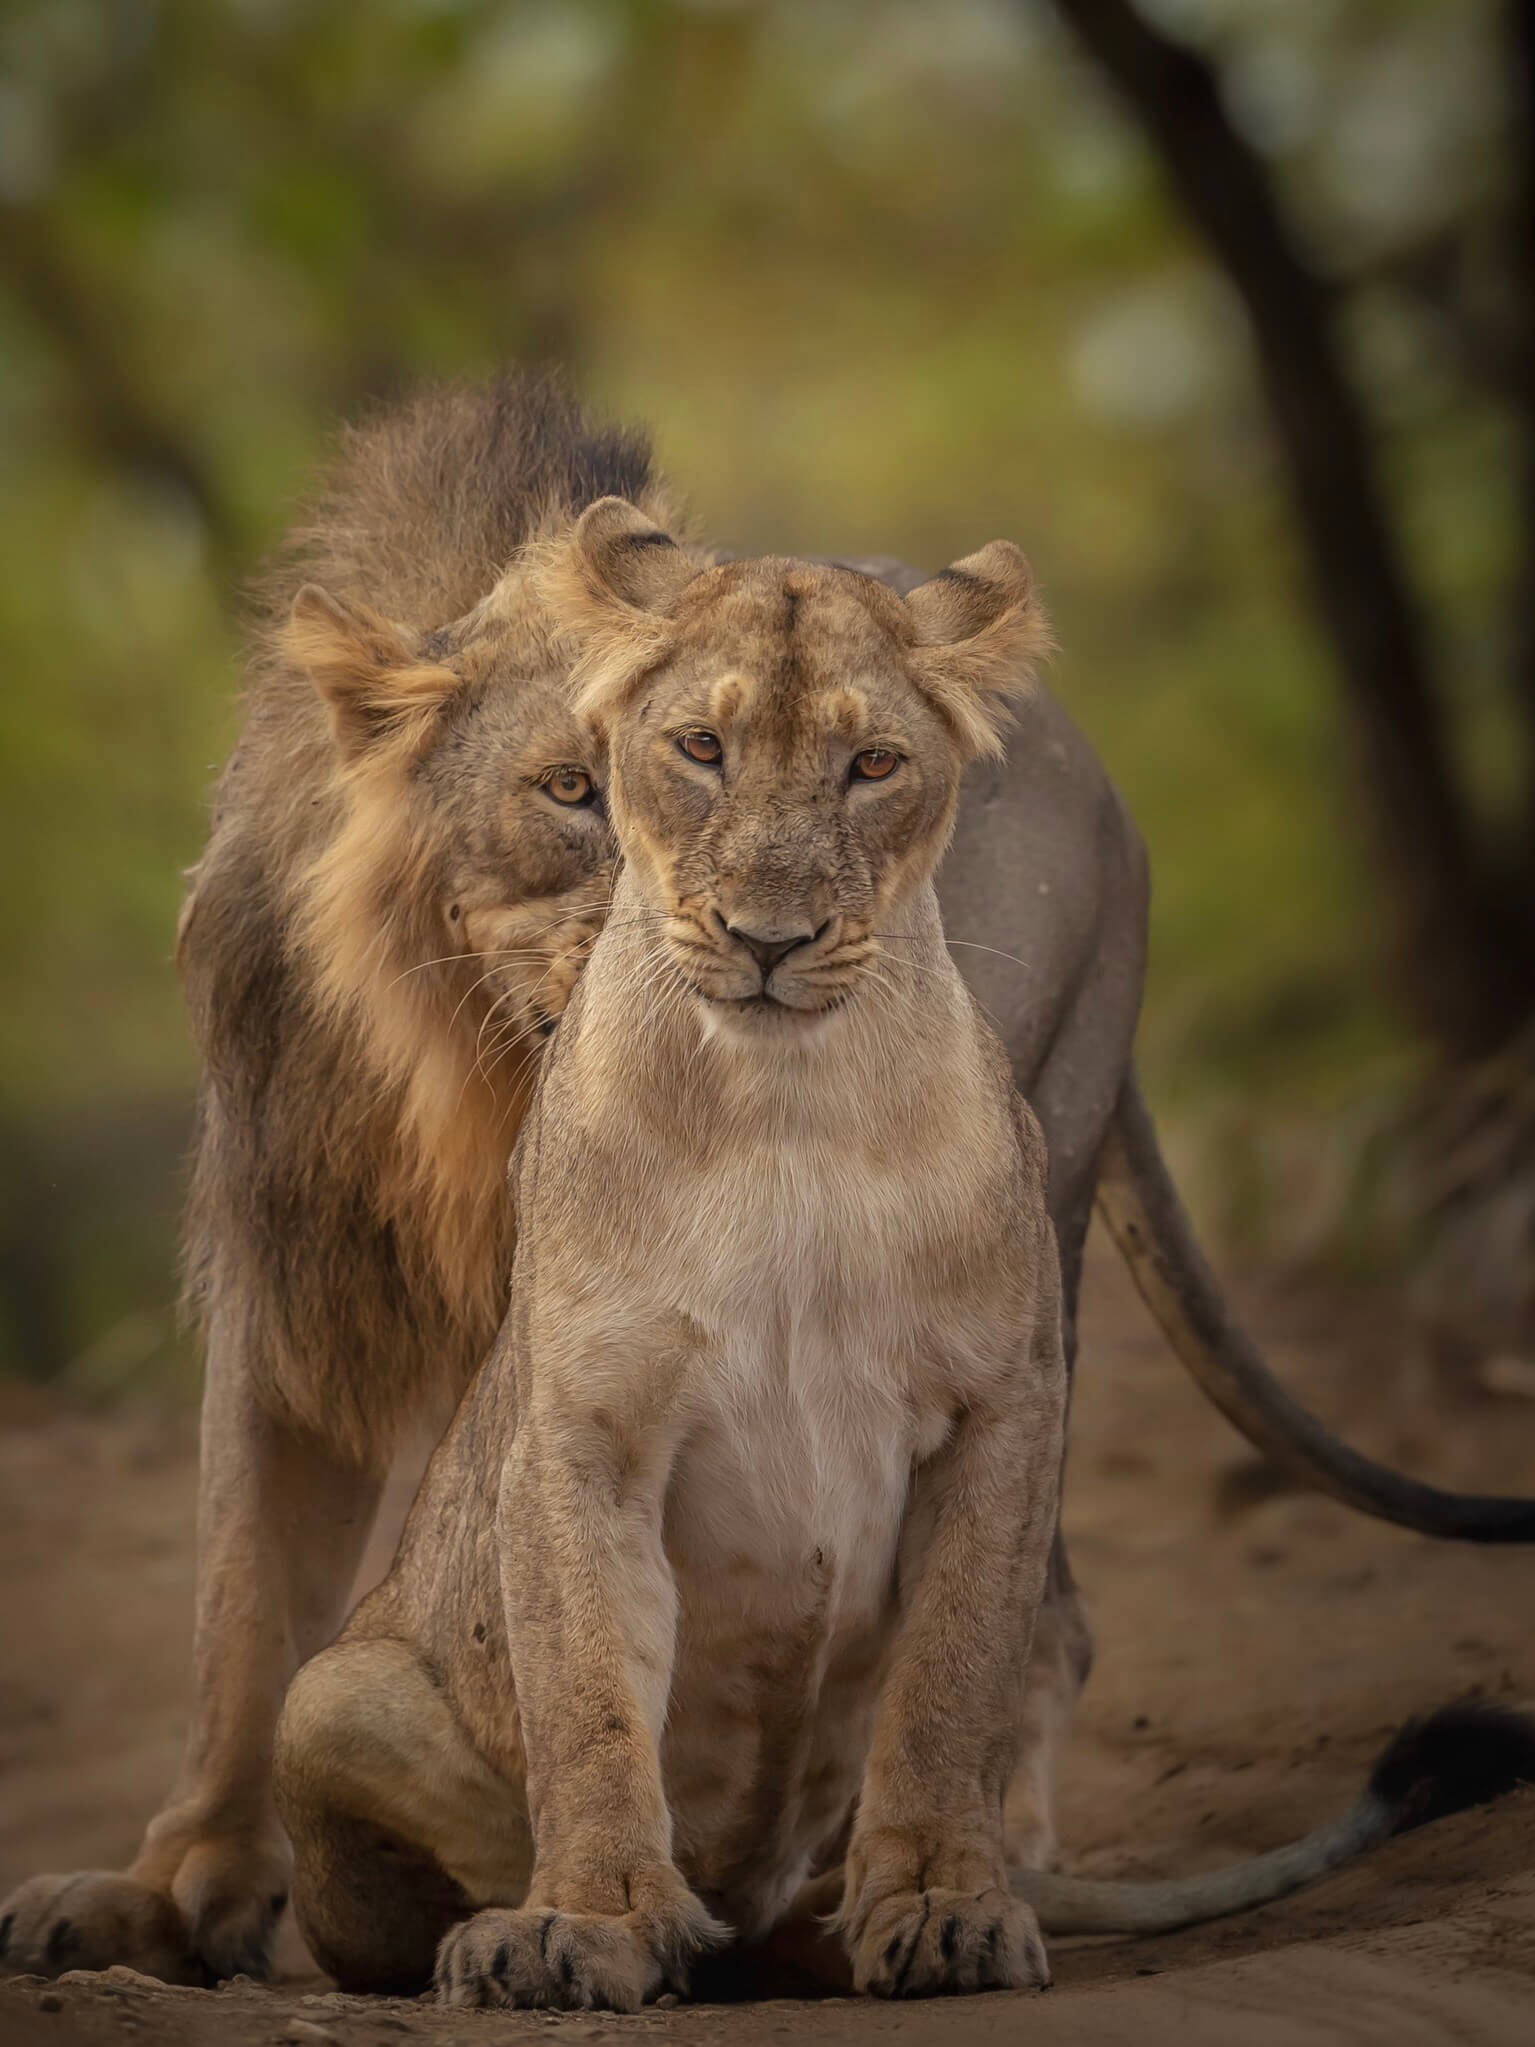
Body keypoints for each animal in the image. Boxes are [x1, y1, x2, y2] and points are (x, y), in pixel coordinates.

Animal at [4, 374, 1532, 1990]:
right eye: (573, 786)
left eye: (866, 771)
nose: (755, 934)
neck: (475, 1076)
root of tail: (1107, 784)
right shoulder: (299, 1264)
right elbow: (246, 1600)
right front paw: (165, 1890)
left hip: (1043, 1174)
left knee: (1037, 1614)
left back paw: (979, 1859)